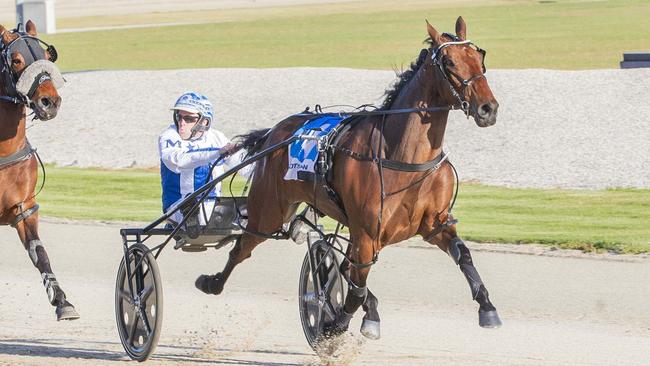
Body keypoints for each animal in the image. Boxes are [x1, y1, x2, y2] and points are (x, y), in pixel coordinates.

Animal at [0, 21, 79, 320]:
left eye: (46, 56)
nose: (49, 102)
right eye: (16, 60)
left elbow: (39, 252)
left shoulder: (23, 207)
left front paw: (62, 300)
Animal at [195, 17, 498, 338]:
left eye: (479, 57)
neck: (403, 158)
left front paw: (487, 307)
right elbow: (355, 287)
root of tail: (274, 132)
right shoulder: (367, 233)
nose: (488, 108)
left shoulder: (433, 224)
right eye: (449, 62)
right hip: (268, 212)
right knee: (243, 246)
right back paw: (212, 282)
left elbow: (462, 255)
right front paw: (335, 322)